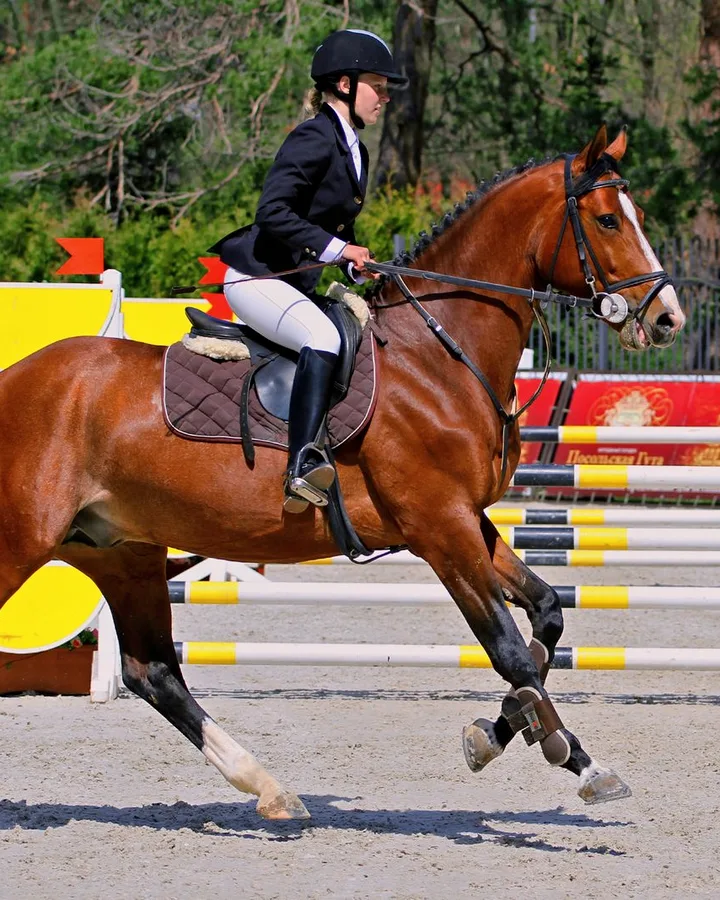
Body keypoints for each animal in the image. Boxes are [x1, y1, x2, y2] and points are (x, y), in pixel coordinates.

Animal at [0, 125, 684, 820]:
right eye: (606, 219)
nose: (666, 318)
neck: (439, 355)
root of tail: (15, 378)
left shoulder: (465, 519)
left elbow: (545, 617)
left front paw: (503, 737)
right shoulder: (440, 528)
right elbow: (509, 649)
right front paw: (572, 758)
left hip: (120, 551)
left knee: (155, 673)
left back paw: (267, 787)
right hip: (25, 544)